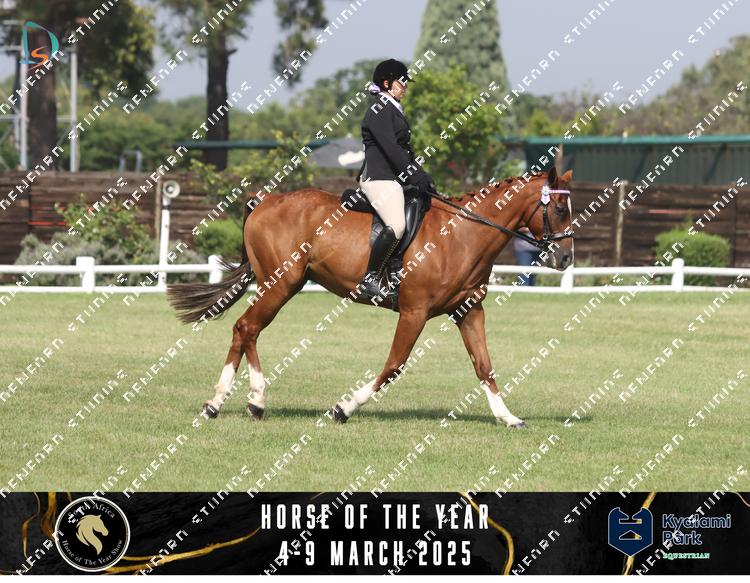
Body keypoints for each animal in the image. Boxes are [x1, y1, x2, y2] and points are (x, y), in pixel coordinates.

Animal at [167, 166, 574, 428]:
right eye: (557, 208)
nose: (565, 259)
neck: (462, 235)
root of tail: (264, 202)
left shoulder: (468, 311)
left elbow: (484, 366)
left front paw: (508, 417)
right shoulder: (414, 311)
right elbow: (393, 366)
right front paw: (344, 408)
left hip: (284, 285)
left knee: (245, 330)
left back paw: (230, 403)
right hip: (280, 285)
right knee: (246, 328)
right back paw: (244, 401)